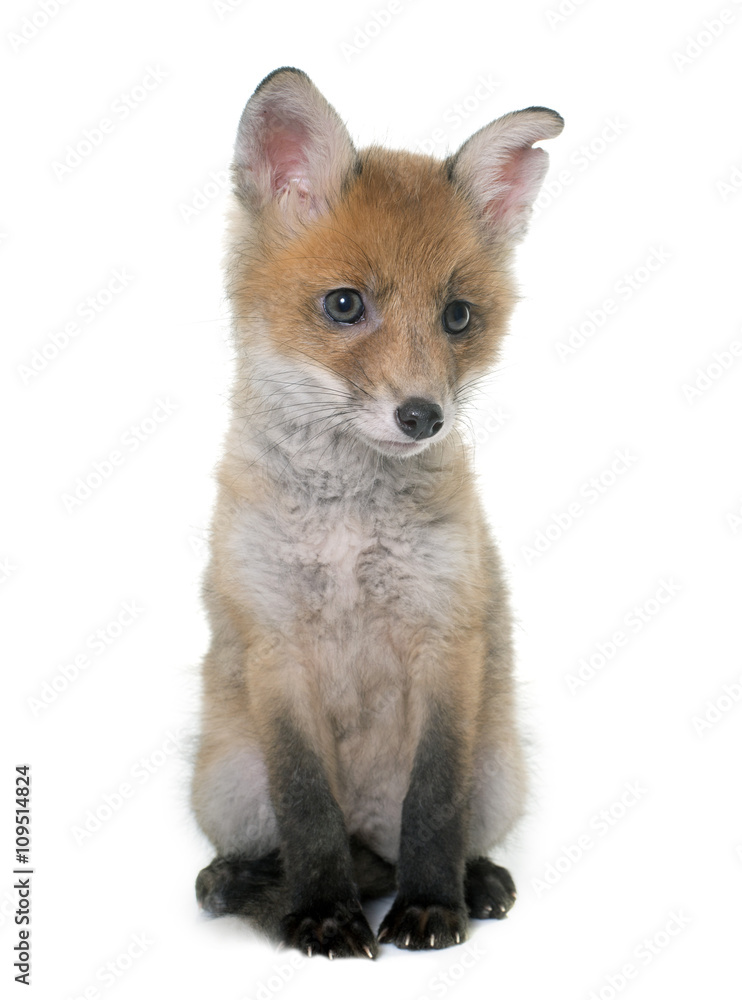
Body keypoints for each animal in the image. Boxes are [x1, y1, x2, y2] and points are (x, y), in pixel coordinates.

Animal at [191, 67, 563, 959]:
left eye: (458, 317)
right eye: (344, 305)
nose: (423, 415)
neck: (348, 535)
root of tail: (370, 834)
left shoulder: (446, 637)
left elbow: (433, 804)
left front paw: (431, 907)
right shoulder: (276, 647)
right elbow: (307, 811)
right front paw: (324, 914)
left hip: (499, 768)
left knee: (437, 836)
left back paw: (471, 882)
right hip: (227, 778)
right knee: (276, 847)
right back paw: (243, 881)